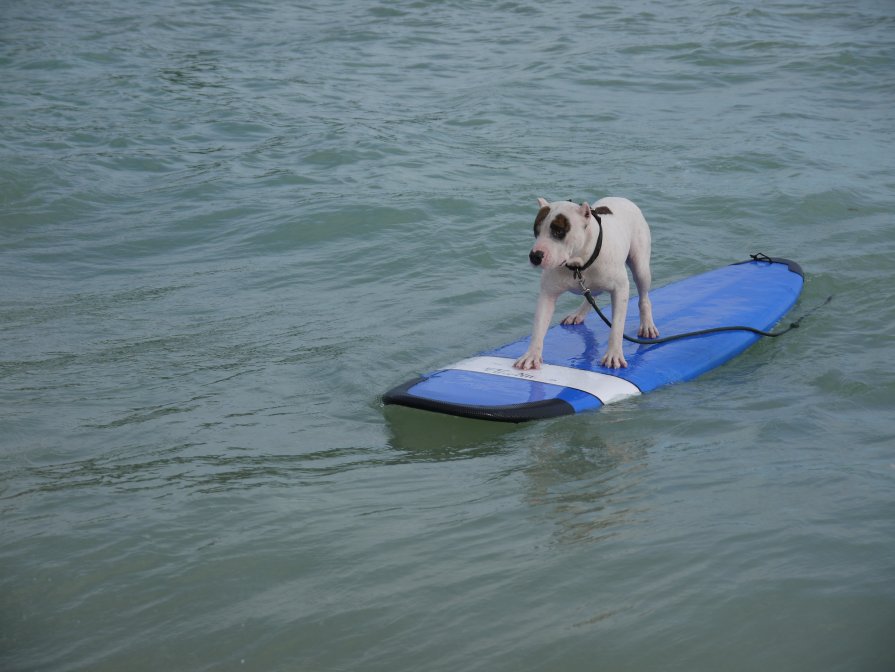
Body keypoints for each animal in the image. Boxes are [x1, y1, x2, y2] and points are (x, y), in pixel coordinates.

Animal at [512, 197, 656, 370]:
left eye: (559, 232)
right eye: (536, 231)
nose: (535, 256)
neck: (578, 264)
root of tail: (623, 198)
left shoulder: (620, 289)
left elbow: (617, 326)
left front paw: (614, 354)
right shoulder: (548, 294)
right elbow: (539, 326)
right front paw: (532, 355)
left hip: (640, 267)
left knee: (644, 298)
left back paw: (647, 324)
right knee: (592, 294)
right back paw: (578, 314)